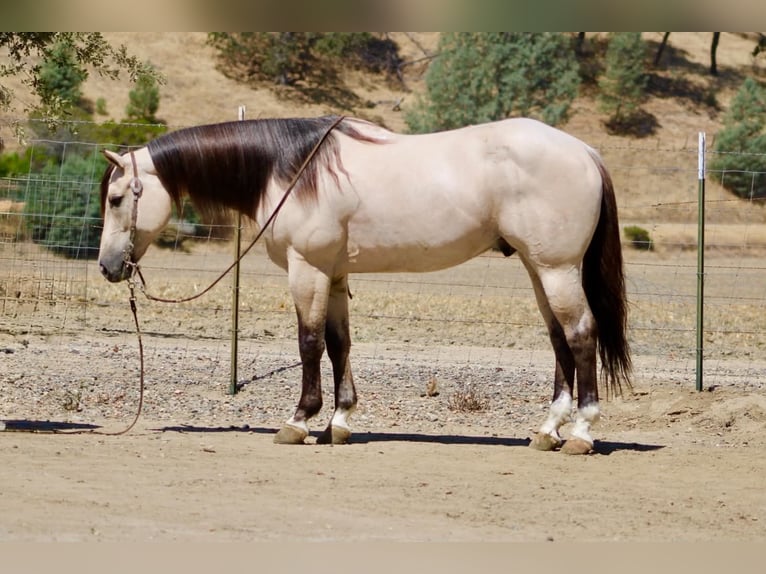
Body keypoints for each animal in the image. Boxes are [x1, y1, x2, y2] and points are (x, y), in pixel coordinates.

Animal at [97, 115, 631, 454]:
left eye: (117, 197)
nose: (107, 267)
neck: (293, 169)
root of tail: (585, 151)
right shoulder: (333, 275)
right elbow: (339, 344)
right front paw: (339, 422)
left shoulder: (307, 269)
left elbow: (309, 342)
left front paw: (299, 420)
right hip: (539, 269)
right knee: (559, 339)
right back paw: (547, 430)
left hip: (557, 269)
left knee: (581, 335)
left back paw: (581, 433)